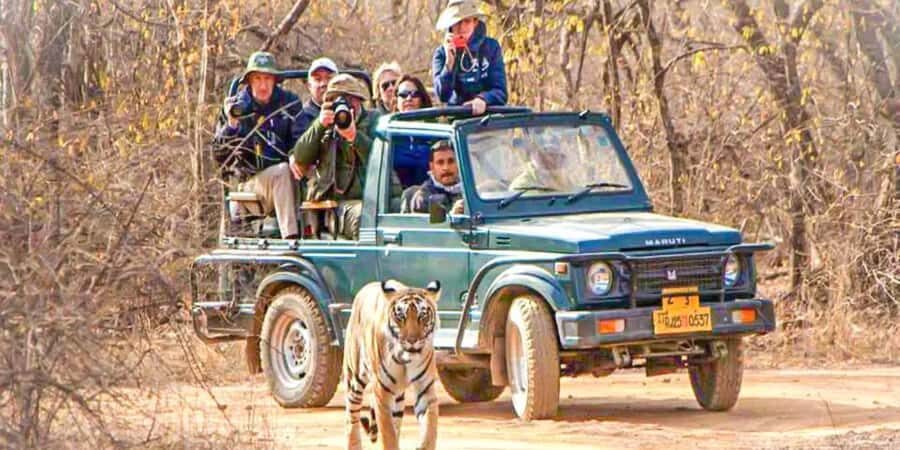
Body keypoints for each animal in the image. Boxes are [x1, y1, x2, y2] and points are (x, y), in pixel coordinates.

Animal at [343, 279, 440, 450]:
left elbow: (430, 430)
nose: (412, 340)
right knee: (351, 415)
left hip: (398, 397)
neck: (405, 358)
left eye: (422, 315)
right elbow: (388, 434)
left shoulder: (425, 389)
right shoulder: (382, 392)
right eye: (401, 316)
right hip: (354, 378)